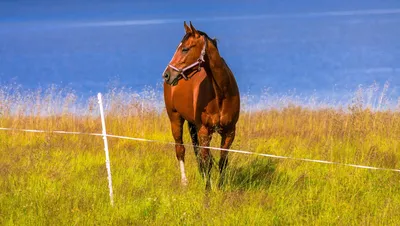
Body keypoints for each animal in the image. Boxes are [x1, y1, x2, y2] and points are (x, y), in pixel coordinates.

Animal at [163, 21, 241, 189]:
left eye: (185, 49)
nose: (166, 75)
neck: (221, 93)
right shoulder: (205, 131)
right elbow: (207, 162)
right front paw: (208, 189)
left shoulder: (229, 132)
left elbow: (222, 161)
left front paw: (220, 187)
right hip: (175, 119)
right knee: (180, 149)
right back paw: (185, 182)